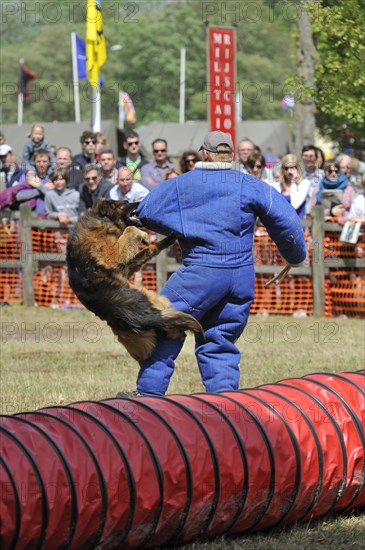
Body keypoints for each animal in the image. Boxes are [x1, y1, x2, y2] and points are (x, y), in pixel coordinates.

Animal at [67, 198, 203, 362]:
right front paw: (144, 235)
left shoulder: (124, 267)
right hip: (155, 297)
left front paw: (166, 239)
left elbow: (148, 249)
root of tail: (141, 316)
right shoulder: (112, 255)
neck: (104, 217)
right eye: (126, 201)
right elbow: (131, 229)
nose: (142, 201)